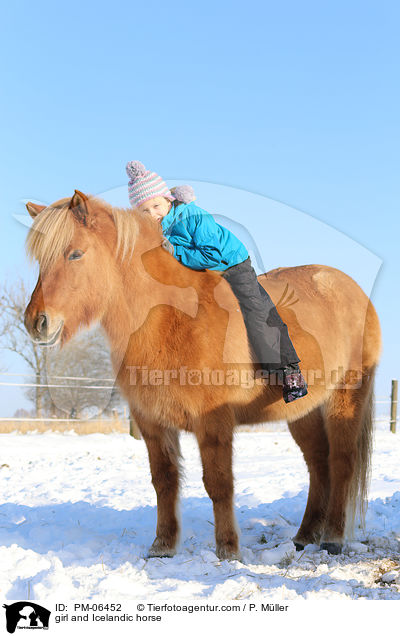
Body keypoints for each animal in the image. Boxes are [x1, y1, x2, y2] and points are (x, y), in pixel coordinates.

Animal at [23, 191, 380, 560]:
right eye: (41, 259)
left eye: (75, 253)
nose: (36, 321)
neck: (171, 318)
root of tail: (353, 290)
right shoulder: (152, 423)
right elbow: (164, 480)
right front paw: (163, 546)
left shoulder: (213, 422)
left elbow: (219, 483)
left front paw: (228, 550)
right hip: (302, 411)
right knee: (318, 464)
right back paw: (305, 536)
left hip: (345, 398)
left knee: (341, 462)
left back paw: (333, 538)